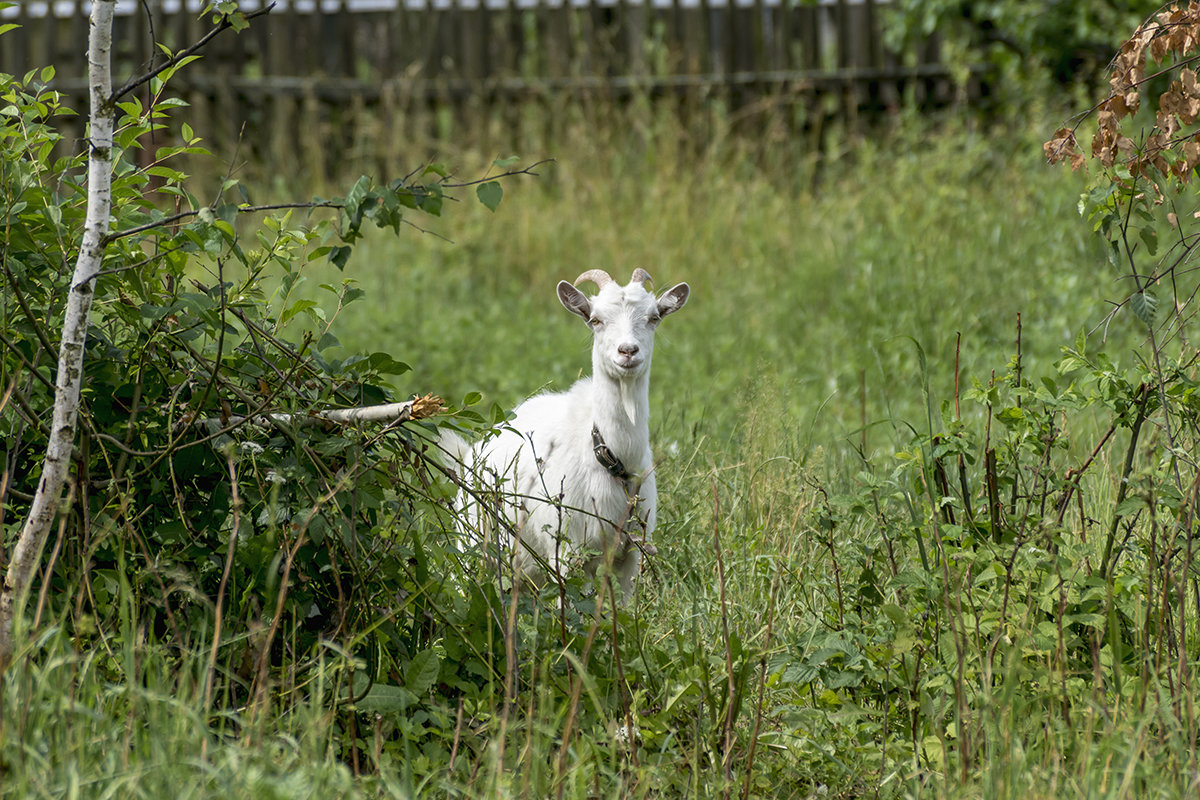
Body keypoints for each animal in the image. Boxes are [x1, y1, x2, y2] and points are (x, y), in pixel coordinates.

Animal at [451, 268, 691, 594]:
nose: (628, 351)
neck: (610, 458)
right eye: (595, 319)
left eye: (654, 317)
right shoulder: (568, 552)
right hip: (472, 541)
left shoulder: (631, 555)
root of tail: (472, 451)